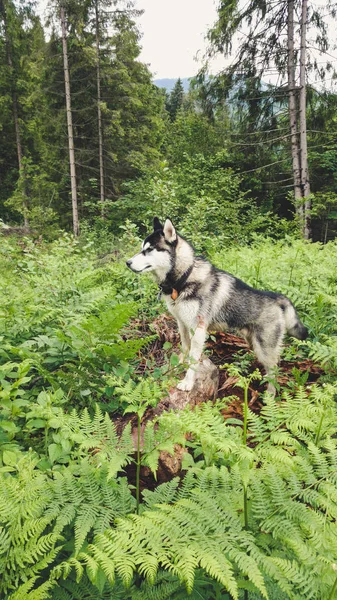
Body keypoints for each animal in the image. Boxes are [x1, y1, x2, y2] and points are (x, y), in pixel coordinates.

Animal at [126, 218, 308, 392]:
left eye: (149, 249)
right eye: (142, 248)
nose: (127, 262)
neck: (184, 278)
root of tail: (277, 297)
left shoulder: (198, 330)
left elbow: (193, 360)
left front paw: (187, 382)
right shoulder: (182, 324)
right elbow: (184, 348)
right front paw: (177, 366)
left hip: (264, 349)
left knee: (274, 371)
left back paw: (270, 395)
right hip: (253, 343)